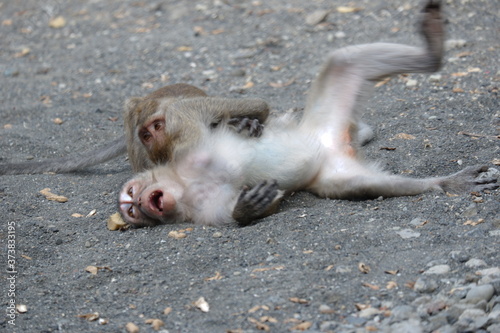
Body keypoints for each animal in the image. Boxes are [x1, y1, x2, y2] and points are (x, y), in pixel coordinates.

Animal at [117, 0, 496, 227]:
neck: (185, 182)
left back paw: (433, 53)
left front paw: (245, 122)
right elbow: (241, 211)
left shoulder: (184, 140)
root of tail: (334, 142)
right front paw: (247, 207)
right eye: (132, 210)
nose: (138, 205)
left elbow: (202, 110)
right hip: (333, 169)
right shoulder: (202, 213)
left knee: (343, 60)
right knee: (359, 186)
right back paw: (441, 183)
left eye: (132, 197)